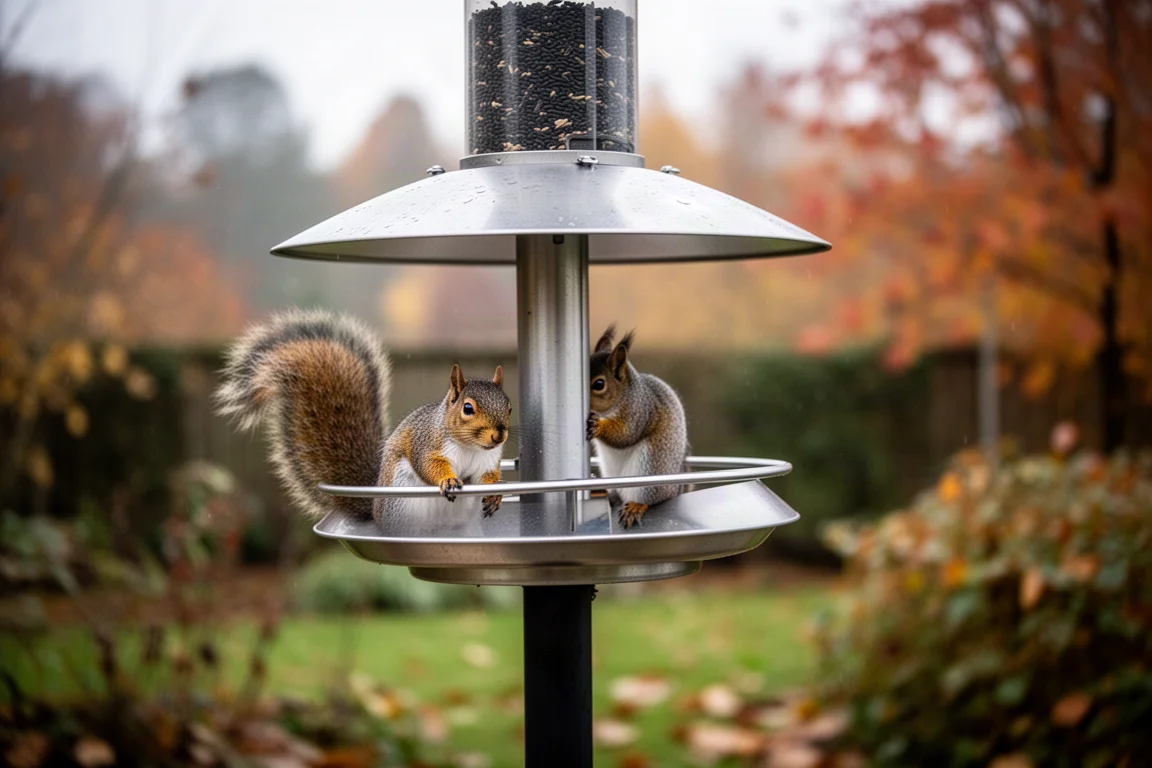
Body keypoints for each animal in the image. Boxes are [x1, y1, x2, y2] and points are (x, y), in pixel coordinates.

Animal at [213, 309, 510, 528]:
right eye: (468, 408)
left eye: (508, 406)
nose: (499, 435)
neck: (471, 447)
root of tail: (376, 510)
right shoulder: (426, 442)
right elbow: (428, 464)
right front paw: (447, 480)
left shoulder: (488, 460)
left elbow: (487, 476)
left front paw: (495, 492)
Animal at [586, 325, 690, 529]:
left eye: (599, 384)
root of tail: (676, 489)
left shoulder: (640, 412)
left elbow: (626, 434)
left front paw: (598, 426)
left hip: (650, 470)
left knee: (651, 499)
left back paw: (636, 506)